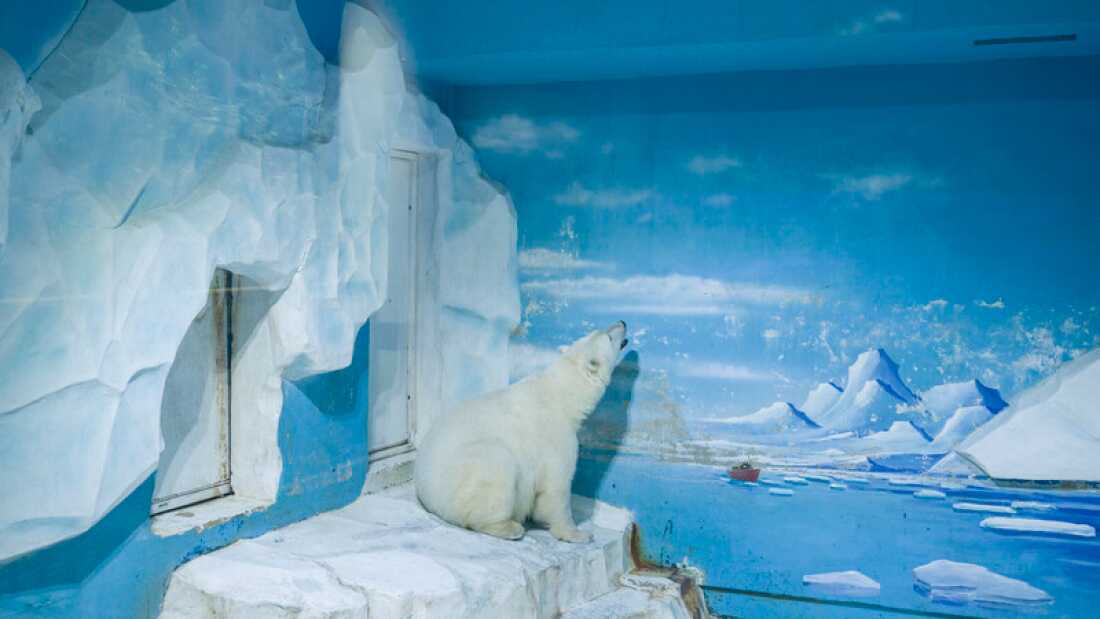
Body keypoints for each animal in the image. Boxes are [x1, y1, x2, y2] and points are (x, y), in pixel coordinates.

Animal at [414, 321, 628, 542]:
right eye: (608, 337)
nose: (622, 323)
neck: (561, 395)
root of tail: (425, 491)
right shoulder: (555, 438)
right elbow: (556, 487)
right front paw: (578, 534)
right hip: (466, 473)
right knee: (497, 467)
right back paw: (511, 528)